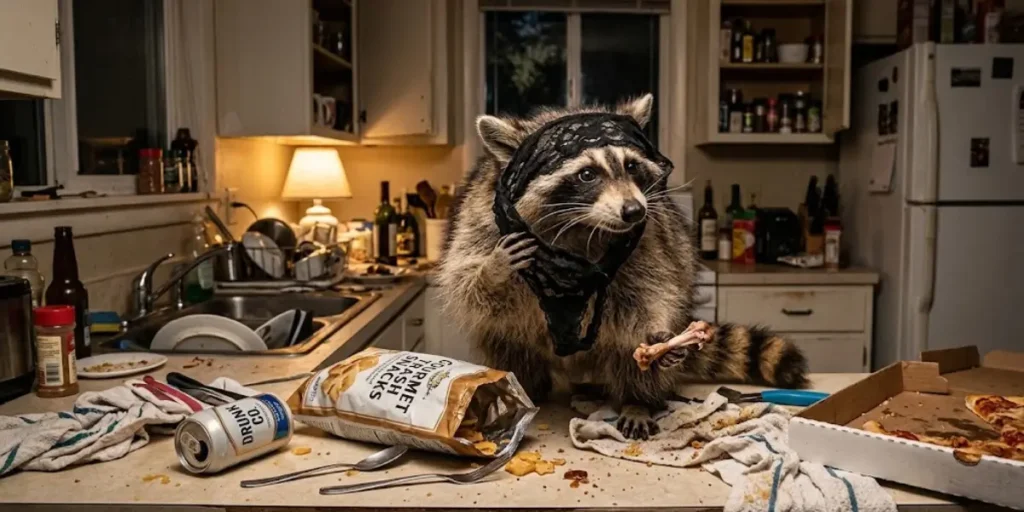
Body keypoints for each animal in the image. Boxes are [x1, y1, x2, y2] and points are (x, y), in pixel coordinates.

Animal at [437, 94, 808, 439]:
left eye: (631, 166)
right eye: (587, 175)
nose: (634, 211)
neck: (581, 226)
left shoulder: (649, 238)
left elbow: (651, 289)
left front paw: (656, 338)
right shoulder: (481, 222)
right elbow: (464, 282)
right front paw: (493, 269)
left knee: (625, 350)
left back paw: (637, 399)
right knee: (508, 346)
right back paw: (522, 391)